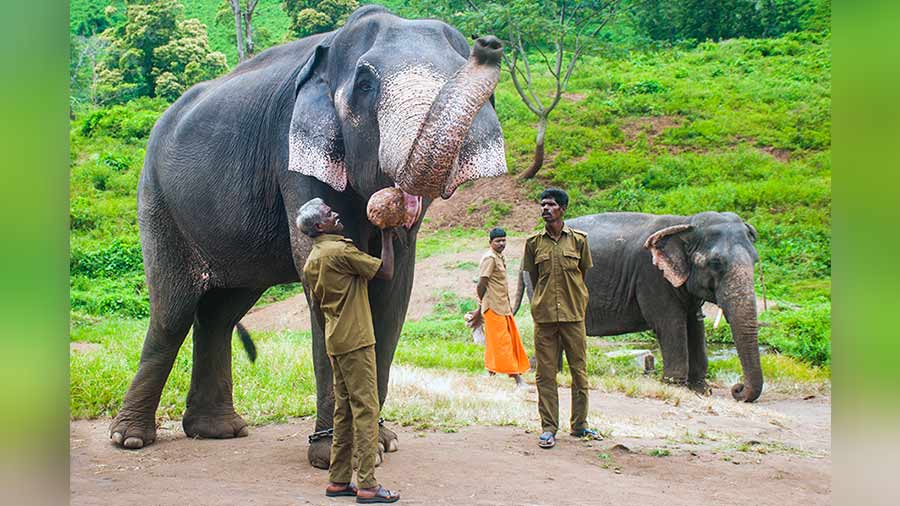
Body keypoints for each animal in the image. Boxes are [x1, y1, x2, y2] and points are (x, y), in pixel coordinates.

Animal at [107, 4, 506, 470]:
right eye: (365, 85)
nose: (489, 44)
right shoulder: (291, 150)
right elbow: (326, 286)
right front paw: (336, 454)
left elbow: (394, 295)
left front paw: (382, 443)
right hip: (157, 201)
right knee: (173, 313)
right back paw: (130, 438)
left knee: (220, 313)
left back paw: (217, 431)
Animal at [516, 211, 764, 402]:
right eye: (715, 263)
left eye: (755, 260)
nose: (737, 389)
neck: (686, 223)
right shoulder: (651, 276)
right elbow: (670, 324)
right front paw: (674, 386)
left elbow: (694, 325)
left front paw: (701, 390)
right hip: (538, 282)